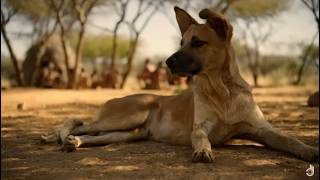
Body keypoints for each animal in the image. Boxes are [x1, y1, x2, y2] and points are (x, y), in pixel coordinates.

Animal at [42, 6, 318, 163]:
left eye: (197, 43)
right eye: (181, 41)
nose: (167, 62)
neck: (223, 91)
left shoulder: (262, 130)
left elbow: (290, 140)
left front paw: (308, 150)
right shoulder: (200, 128)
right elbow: (201, 138)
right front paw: (203, 151)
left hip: (130, 132)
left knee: (89, 133)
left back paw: (74, 143)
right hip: (126, 116)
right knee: (76, 121)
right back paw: (55, 136)